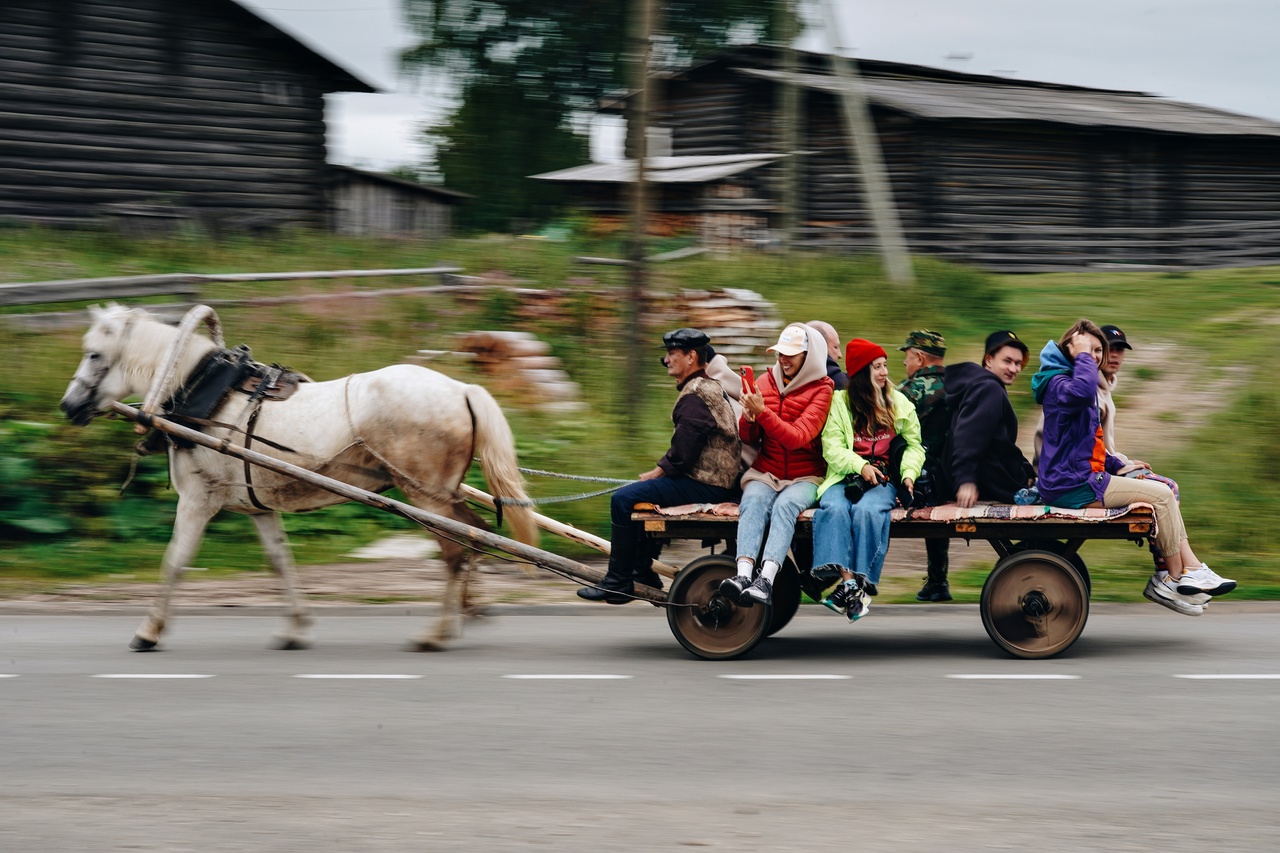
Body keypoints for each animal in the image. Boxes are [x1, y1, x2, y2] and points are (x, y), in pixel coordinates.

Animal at [60, 302, 535, 648]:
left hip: (425, 496)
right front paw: (295, 628)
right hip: (441, 495)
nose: (68, 406)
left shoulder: (197, 500)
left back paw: (436, 634)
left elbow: (175, 560)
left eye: (94, 354)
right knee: (474, 536)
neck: (205, 394)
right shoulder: (258, 507)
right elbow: (280, 562)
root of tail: (462, 389)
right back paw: (466, 613)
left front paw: (148, 631)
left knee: (457, 550)